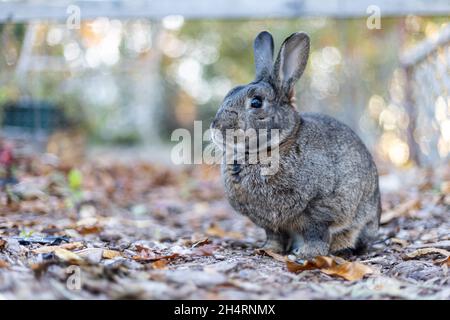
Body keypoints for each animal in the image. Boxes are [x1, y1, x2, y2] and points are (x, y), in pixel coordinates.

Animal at [211, 31, 380, 258]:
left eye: (256, 102)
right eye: (229, 93)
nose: (216, 127)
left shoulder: (319, 207)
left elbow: (316, 231)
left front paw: (308, 253)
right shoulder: (269, 223)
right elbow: (274, 235)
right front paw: (268, 249)